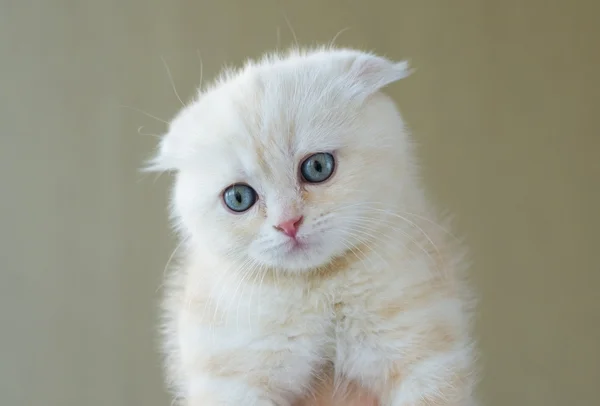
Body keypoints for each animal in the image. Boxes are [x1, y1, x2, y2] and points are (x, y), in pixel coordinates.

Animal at [149, 47, 478, 406]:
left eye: (317, 167)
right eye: (238, 198)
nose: (288, 223)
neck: (319, 288)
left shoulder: (429, 359)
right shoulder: (230, 381)